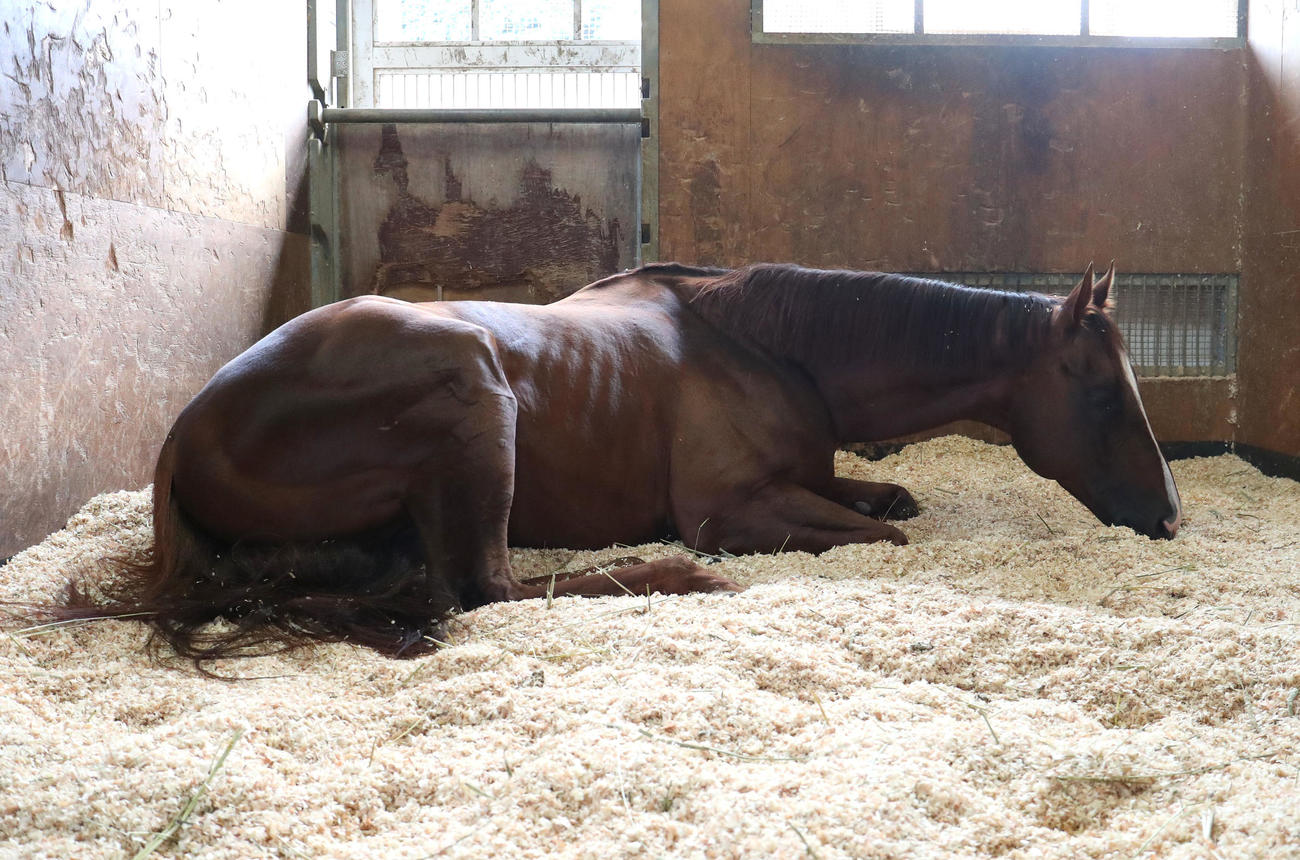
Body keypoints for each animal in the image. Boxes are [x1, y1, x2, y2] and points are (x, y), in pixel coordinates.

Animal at [58, 261, 1181, 663]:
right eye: (1099, 388)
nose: (1170, 514)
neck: (766, 347)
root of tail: (186, 433)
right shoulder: (734, 509)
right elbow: (882, 533)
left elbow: (887, 495)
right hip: (477, 390)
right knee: (488, 586)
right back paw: (672, 576)